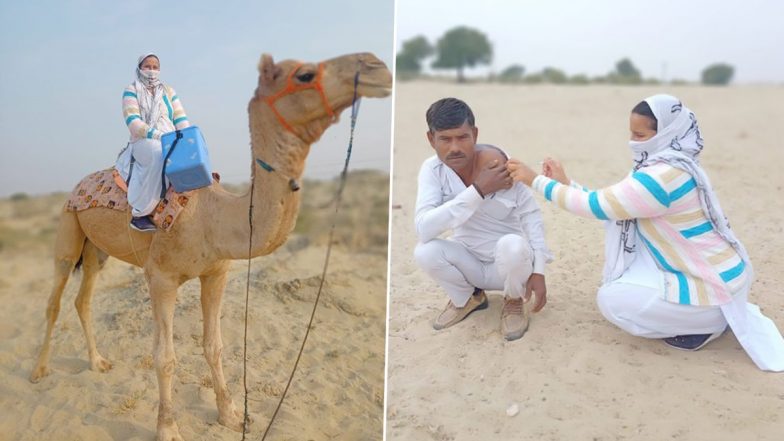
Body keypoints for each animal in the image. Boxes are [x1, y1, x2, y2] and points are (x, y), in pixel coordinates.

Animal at [29, 52, 392, 440]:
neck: (211, 215)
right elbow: (164, 356)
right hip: (69, 229)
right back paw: (39, 370)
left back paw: (98, 363)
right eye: (305, 74)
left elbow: (214, 345)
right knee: (54, 299)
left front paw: (231, 415)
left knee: (83, 300)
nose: (376, 65)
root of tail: (77, 186)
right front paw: (168, 428)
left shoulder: (217, 273)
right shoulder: (160, 277)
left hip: (96, 251)